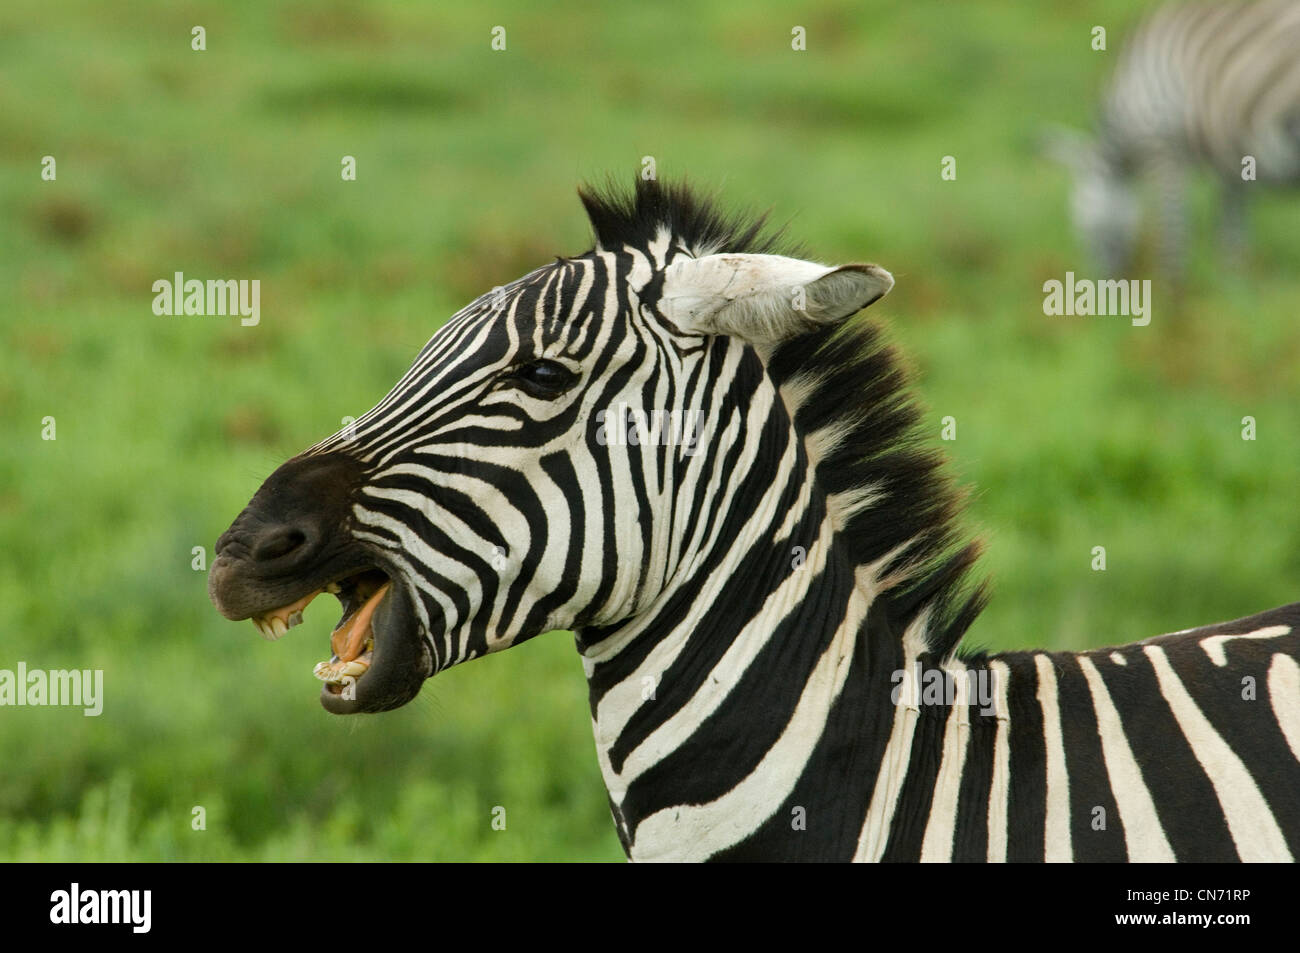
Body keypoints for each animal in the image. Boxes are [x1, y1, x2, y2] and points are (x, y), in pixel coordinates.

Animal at [1043, 0, 1300, 280]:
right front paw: (1234, 279)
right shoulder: (1233, 158)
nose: (1104, 281)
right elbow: (1231, 227)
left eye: (1080, 228)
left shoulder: (1163, 147)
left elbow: (1173, 229)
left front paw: (1172, 285)